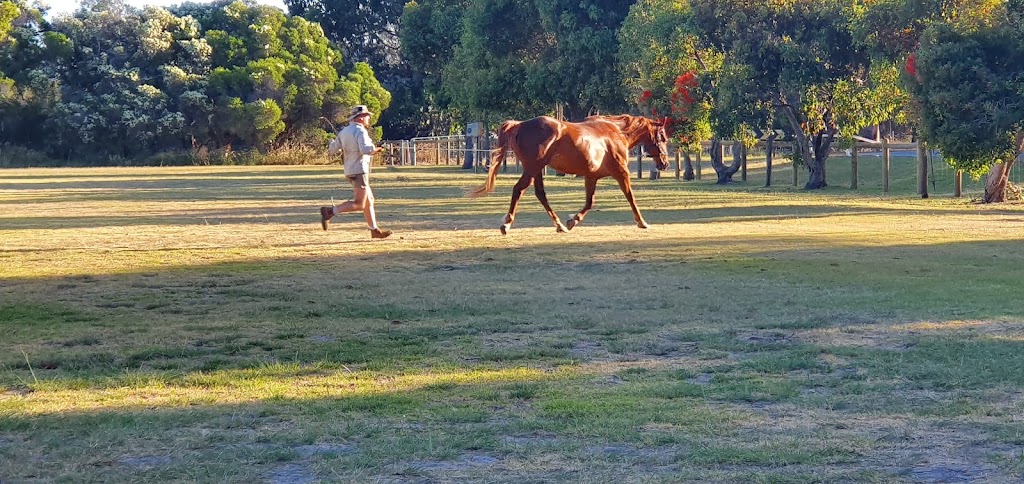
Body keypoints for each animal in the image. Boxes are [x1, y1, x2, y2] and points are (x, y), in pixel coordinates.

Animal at [466, 113, 671, 234]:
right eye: (663, 137)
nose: (665, 163)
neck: (616, 133)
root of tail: (520, 125)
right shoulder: (621, 172)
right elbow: (630, 197)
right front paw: (642, 222)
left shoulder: (591, 177)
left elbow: (589, 202)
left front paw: (573, 220)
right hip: (532, 169)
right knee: (519, 189)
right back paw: (507, 224)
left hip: (536, 170)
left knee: (540, 194)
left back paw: (560, 225)